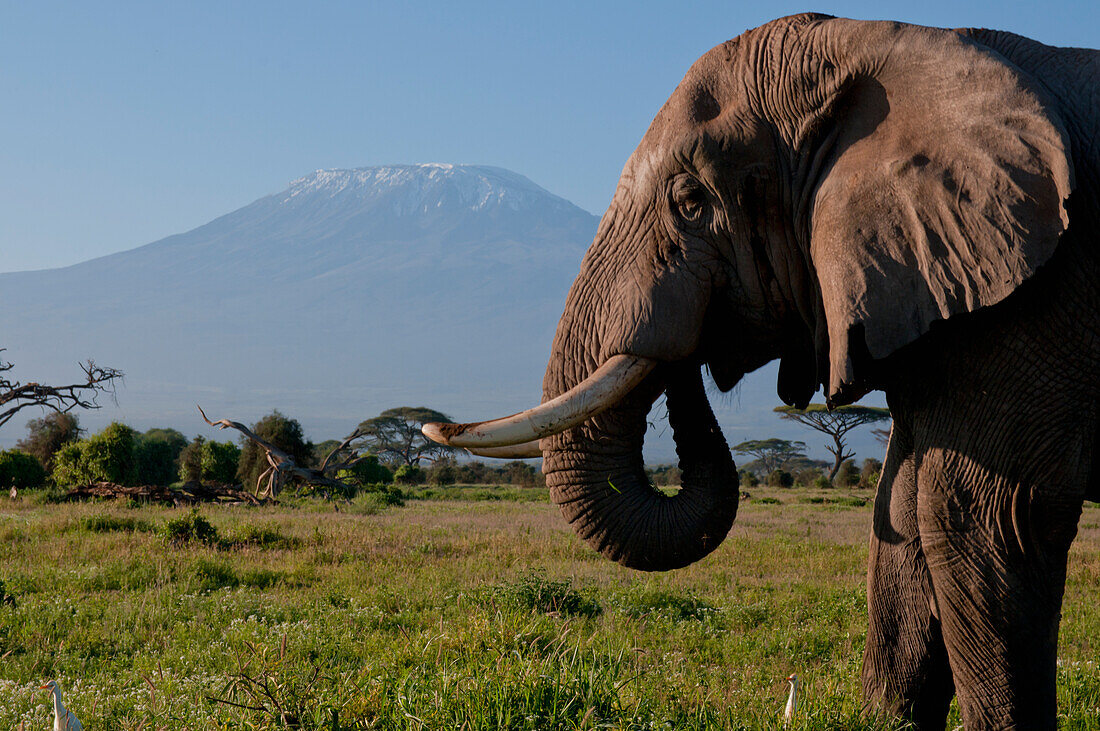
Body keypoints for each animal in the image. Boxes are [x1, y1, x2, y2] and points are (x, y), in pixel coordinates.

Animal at [422, 12, 1100, 729]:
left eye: (691, 200)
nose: (690, 348)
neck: (883, 41)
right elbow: (902, 511)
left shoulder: (1042, 287)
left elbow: (985, 513)